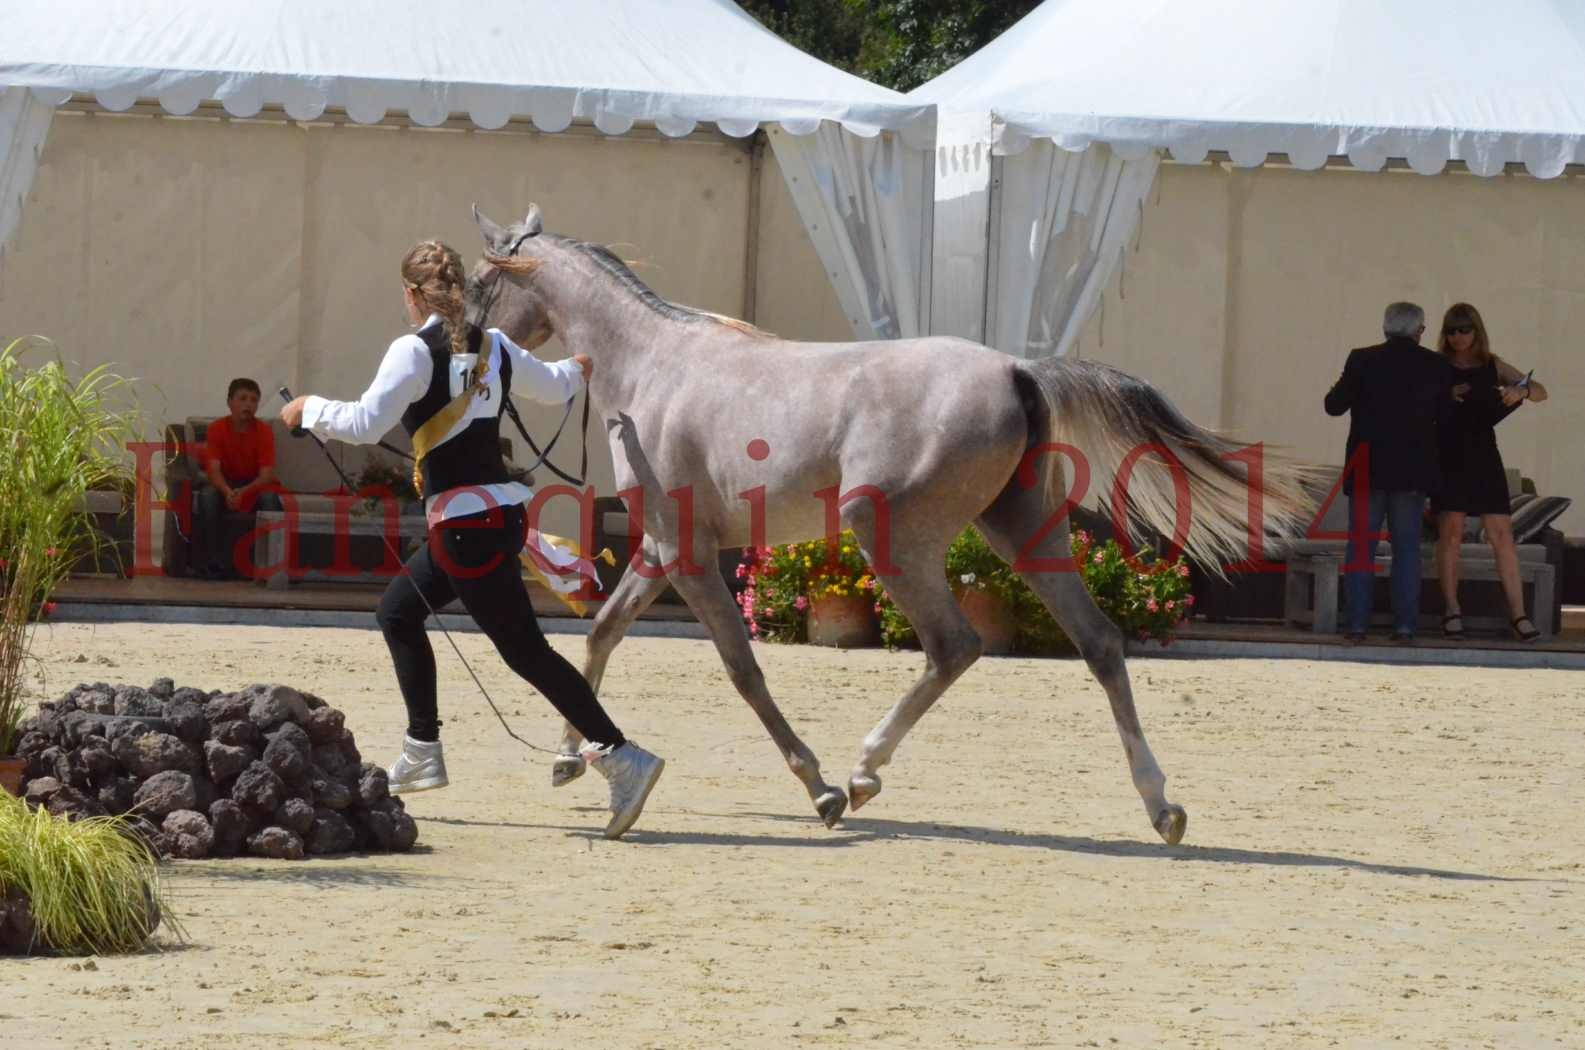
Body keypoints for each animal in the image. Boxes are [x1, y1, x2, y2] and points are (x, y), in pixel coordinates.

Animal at [462, 206, 1306, 850]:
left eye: (476, 285)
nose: (462, 351)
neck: (652, 367)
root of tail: (1017, 371)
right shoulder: (663, 550)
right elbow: (600, 635)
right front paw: (572, 759)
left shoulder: (687, 553)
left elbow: (741, 669)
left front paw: (819, 788)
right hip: (1021, 531)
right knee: (1098, 642)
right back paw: (1160, 807)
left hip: (892, 536)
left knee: (954, 645)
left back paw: (863, 773)